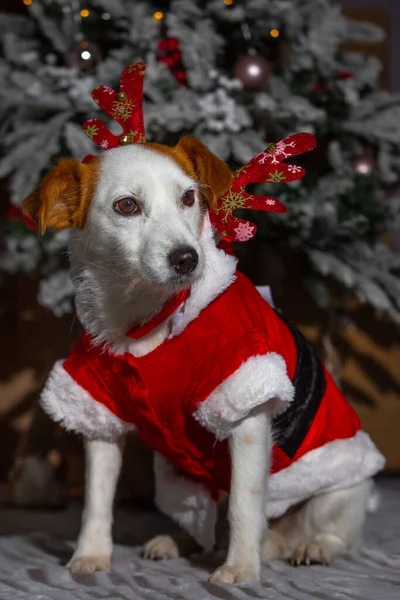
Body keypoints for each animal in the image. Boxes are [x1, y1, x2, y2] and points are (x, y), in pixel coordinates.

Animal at [22, 138, 384, 584]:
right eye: (127, 206)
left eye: (188, 197)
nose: (186, 258)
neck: (146, 321)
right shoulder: (97, 409)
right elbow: (97, 498)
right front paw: (91, 554)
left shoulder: (245, 399)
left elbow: (244, 502)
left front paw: (242, 567)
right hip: (181, 481)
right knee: (204, 524)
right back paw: (178, 542)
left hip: (336, 489)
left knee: (338, 534)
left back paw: (309, 547)